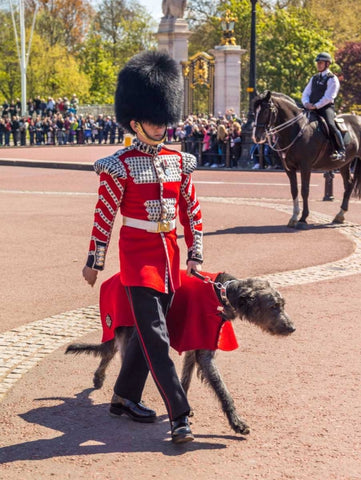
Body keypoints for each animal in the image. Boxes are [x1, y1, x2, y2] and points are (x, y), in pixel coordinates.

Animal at [250, 91, 360, 228]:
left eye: (265, 111)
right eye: (254, 112)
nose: (256, 137)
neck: (296, 129)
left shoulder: (305, 166)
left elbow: (304, 190)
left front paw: (303, 218)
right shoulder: (289, 168)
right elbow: (294, 190)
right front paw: (294, 217)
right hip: (344, 164)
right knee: (349, 184)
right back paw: (340, 215)